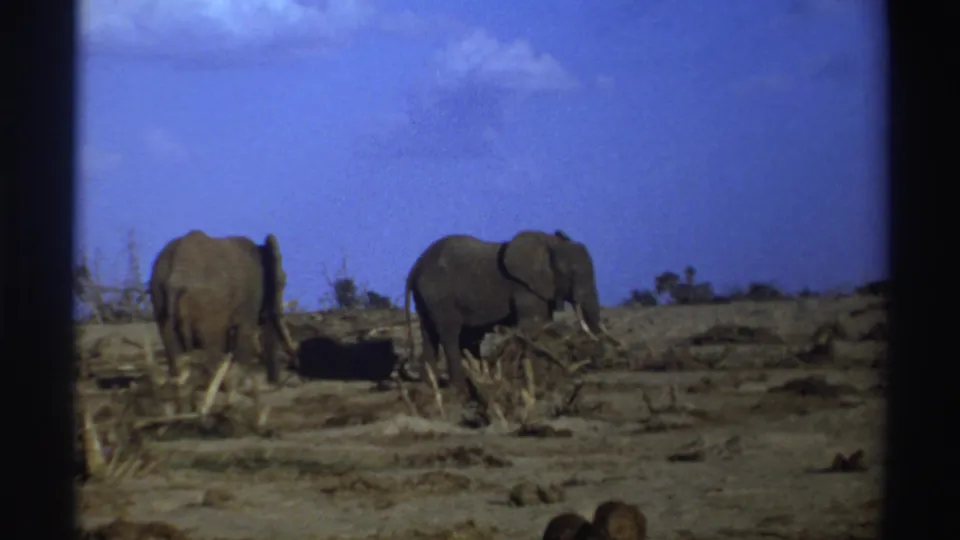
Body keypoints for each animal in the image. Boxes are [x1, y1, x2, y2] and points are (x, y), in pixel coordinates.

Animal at [148, 229, 298, 386]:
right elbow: (246, 331)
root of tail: (176, 276)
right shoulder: (252, 295)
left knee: (171, 341)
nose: (274, 382)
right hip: (209, 303)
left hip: (158, 293)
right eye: (283, 282)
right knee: (212, 343)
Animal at [402, 229, 618, 391]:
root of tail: (415, 267)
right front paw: (535, 379)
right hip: (439, 294)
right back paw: (460, 387)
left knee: (429, 334)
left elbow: (544, 324)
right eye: (572, 273)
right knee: (449, 333)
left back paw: (430, 386)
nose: (598, 365)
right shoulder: (523, 287)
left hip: (426, 297)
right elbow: (534, 325)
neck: (548, 243)